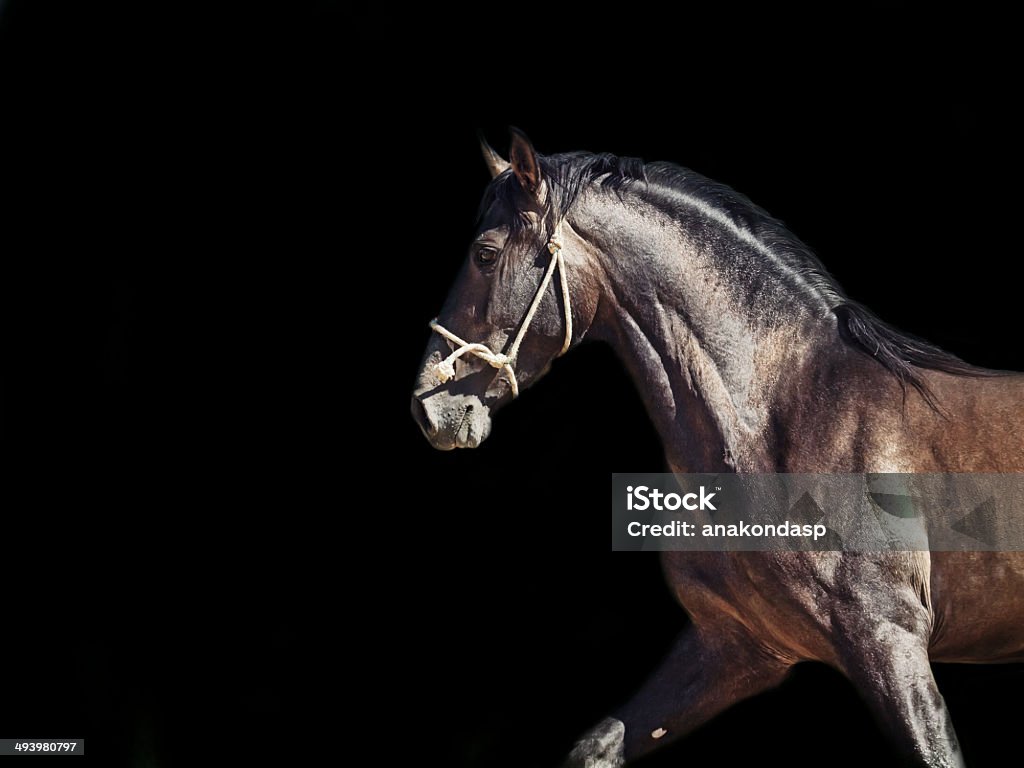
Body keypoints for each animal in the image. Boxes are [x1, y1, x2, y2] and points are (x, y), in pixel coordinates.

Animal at [407, 129, 1024, 765]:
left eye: (484, 254)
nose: (429, 410)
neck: (779, 427)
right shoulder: (735, 645)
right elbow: (596, 749)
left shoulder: (888, 640)